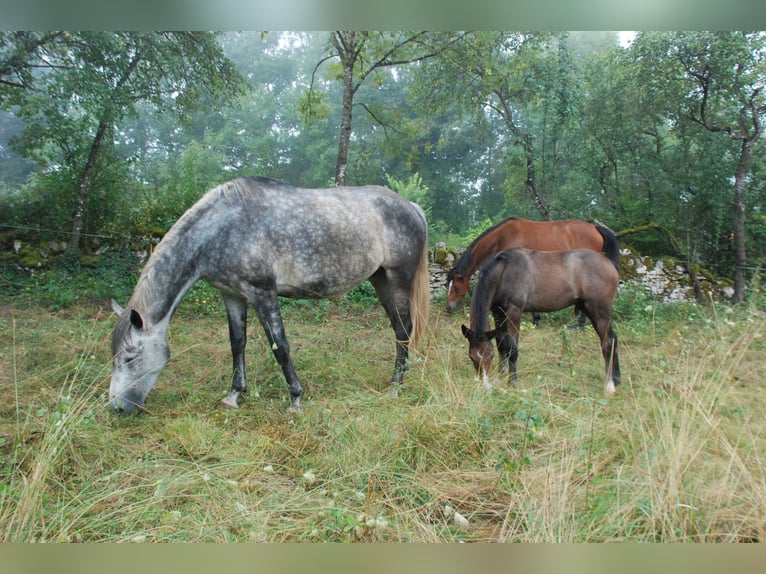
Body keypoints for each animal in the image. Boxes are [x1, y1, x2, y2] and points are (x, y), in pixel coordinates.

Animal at [109, 176, 432, 414]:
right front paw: (233, 395)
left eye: (130, 357)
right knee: (398, 329)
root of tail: (411, 206)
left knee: (404, 329)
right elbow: (237, 343)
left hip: (397, 279)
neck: (225, 228)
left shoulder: (262, 293)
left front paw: (296, 399)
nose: (118, 408)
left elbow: (280, 346)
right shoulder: (232, 296)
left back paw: (395, 386)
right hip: (380, 280)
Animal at [462, 250, 624, 398]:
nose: (485, 386)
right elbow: (502, 344)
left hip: (599, 311)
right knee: (613, 338)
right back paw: (616, 379)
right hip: (589, 309)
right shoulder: (498, 312)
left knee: (608, 342)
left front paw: (512, 382)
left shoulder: (514, 312)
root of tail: (610, 264)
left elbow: (512, 348)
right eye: (472, 356)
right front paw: (501, 375)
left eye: (489, 355)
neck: (503, 271)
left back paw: (609, 385)